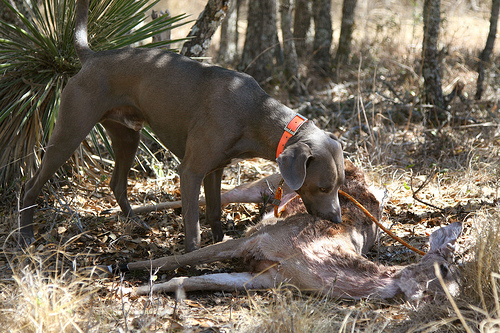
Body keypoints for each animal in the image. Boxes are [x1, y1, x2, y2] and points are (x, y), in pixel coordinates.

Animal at [18, 0, 344, 250]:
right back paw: (25, 235)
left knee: (117, 184)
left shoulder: (215, 169)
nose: (338, 220)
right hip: (70, 132)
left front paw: (218, 243)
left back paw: (137, 223)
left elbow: (214, 212)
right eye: (324, 186)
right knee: (30, 185)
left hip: (127, 136)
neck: (254, 111)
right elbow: (193, 227)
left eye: (340, 185)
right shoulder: (191, 171)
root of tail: (92, 57)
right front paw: (190, 260)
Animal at [122, 161, 460, 300]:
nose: (459, 294)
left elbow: (187, 280)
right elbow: (176, 260)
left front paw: (131, 290)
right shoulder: (259, 237)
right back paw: (123, 213)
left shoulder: (266, 277)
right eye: (446, 268)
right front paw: (127, 267)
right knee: (217, 193)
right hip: (266, 180)